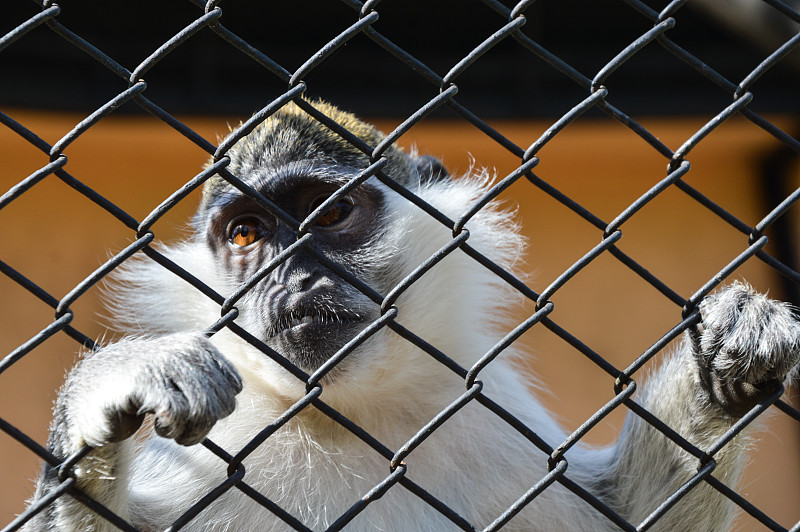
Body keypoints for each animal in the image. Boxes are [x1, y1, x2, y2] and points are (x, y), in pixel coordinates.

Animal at [21, 101, 800, 532]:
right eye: (246, 234)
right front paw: (112, 384)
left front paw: (732, 347)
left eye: (333, 213)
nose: (294, 279)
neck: (346, 414)